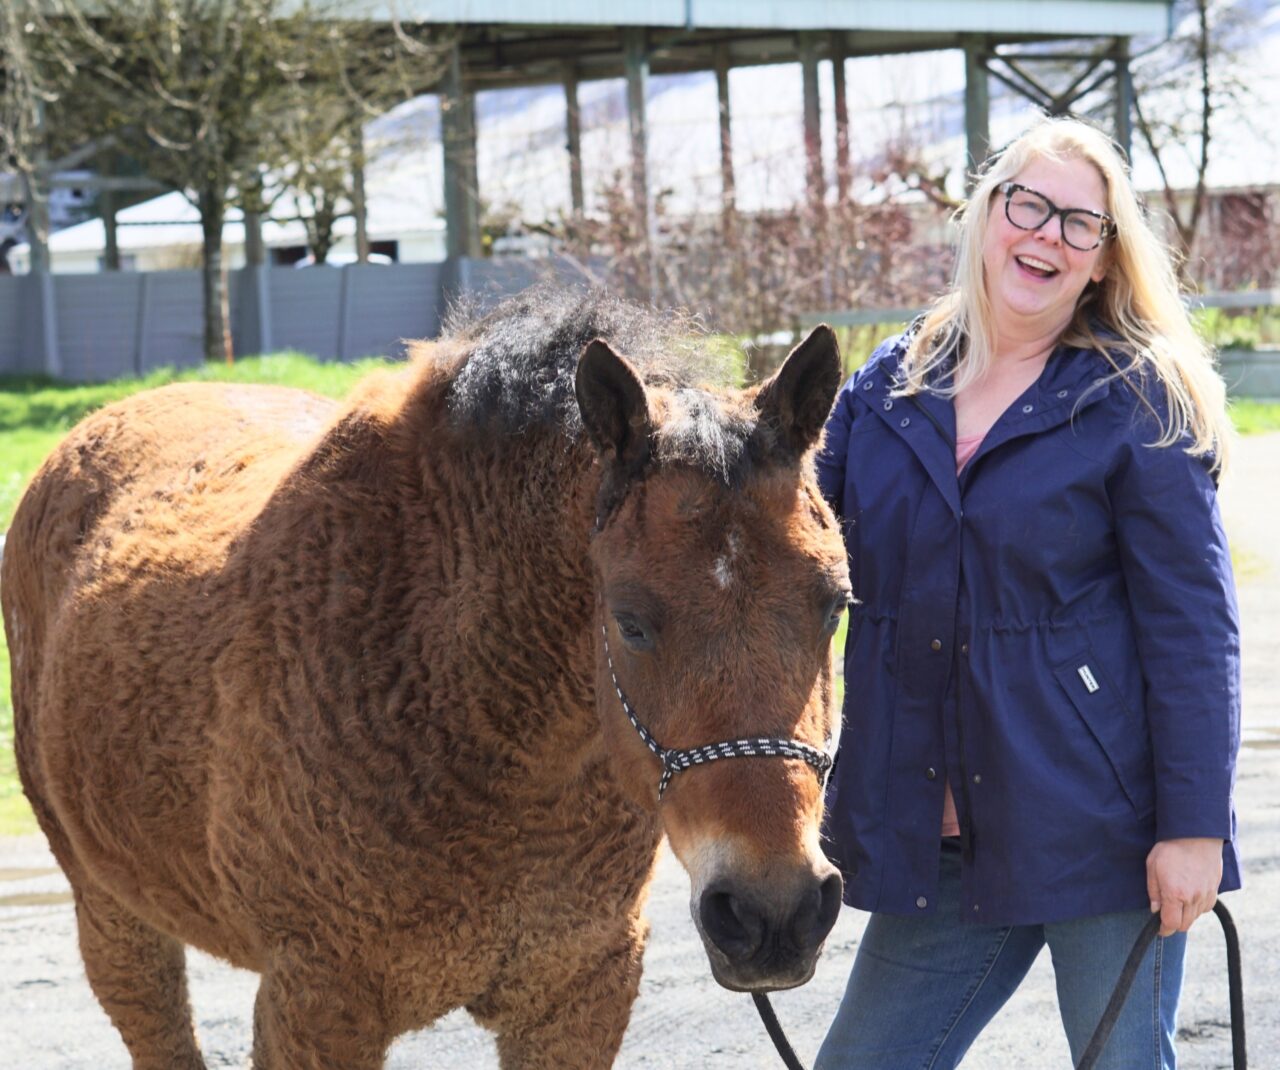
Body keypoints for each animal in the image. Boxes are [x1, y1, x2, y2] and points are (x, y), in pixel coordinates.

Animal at [2, 289, 851, 1069]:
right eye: (630, 620)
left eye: (836, 604)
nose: (775, 912)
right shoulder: (315, 1005)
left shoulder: (579, 995)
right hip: (115, 920)